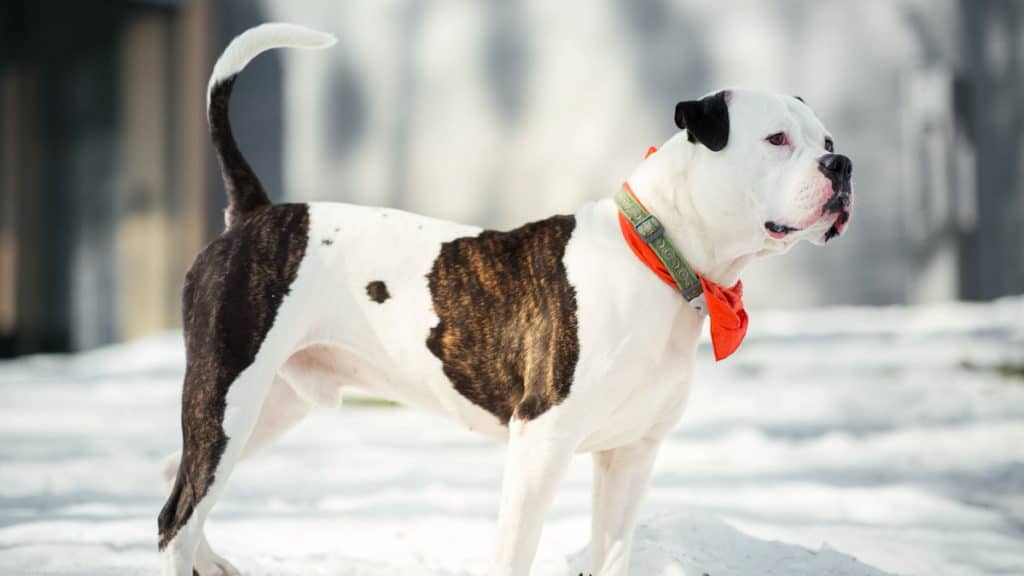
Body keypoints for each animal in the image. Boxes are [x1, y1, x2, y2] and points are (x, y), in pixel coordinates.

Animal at [155, 22, 851, 573]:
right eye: (776, 140)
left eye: (824, 140)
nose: (841, 165)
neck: (656, 256)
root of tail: (256, 213)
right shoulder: (539, 444)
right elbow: (514, 553)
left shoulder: (630, 456)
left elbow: (613, 557)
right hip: (227, 396)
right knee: (174, 520)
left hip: (266, 406)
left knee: (180, 490)